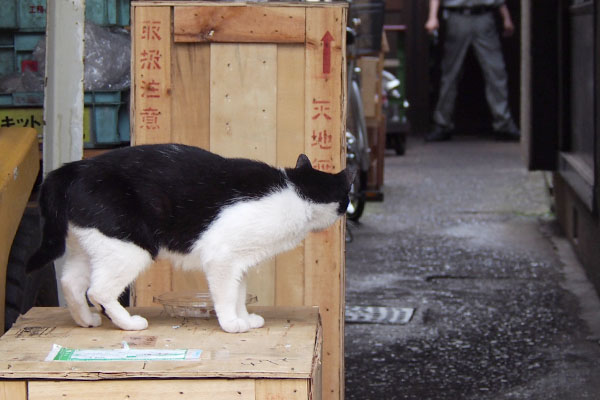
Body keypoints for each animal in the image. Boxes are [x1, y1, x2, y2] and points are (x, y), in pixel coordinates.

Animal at [28, 144, 354, 332]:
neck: (295, 191)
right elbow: (226, 295)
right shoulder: (222, 258)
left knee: (70, 282)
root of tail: (76, 167)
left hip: (91, 246)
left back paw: (85, 320)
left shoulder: (240, 263)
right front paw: (231, 324)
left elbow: (239, 293)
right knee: (98, 291)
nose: (348, 210)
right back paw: (129, 324)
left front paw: (245, 318)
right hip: (130, 248)